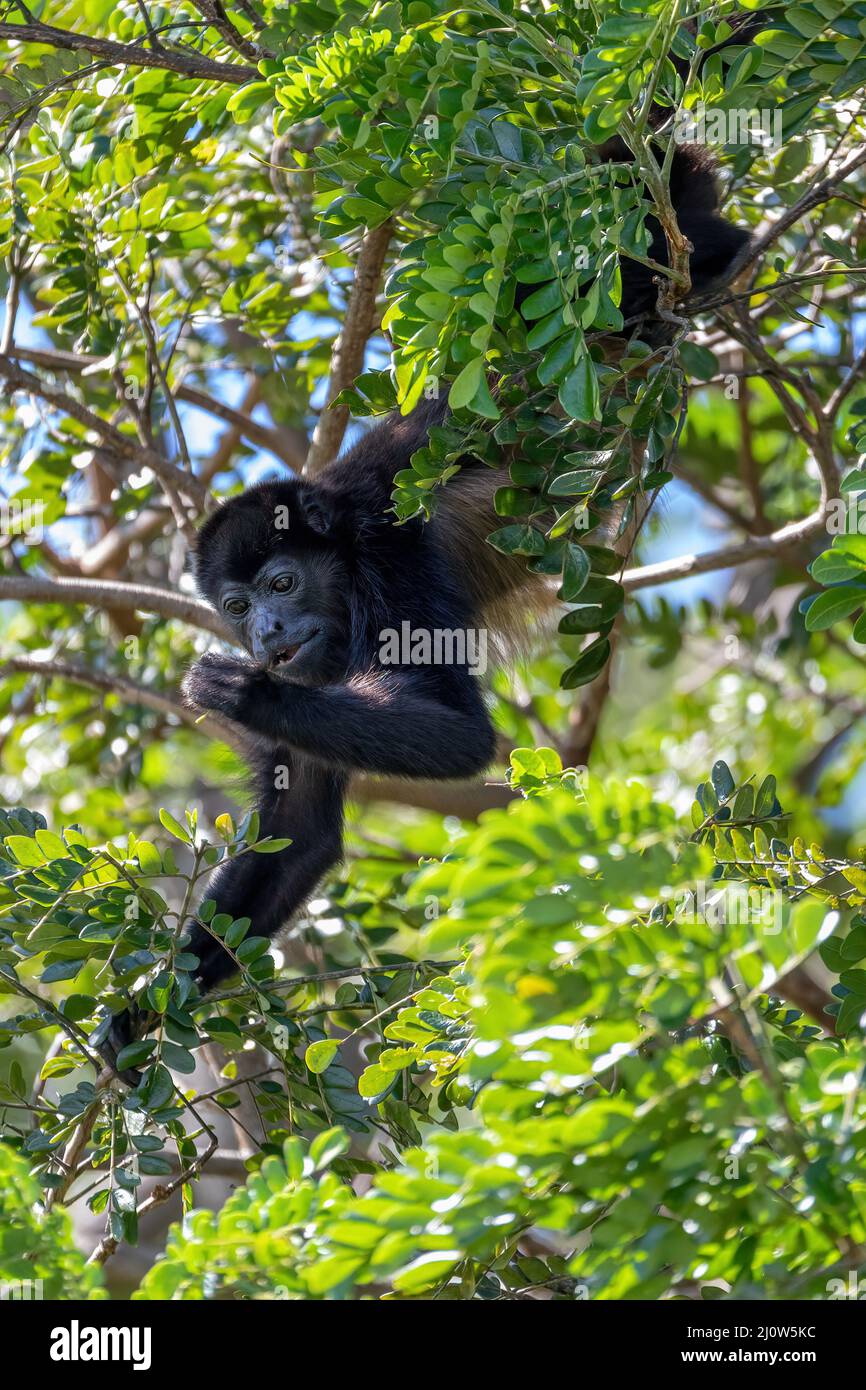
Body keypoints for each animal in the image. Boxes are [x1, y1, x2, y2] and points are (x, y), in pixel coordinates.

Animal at [101, 138, 750, 1061]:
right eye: (234, 604)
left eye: (281, 584)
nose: (263, 634)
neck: (342, 548)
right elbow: (300, 827)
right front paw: (139, 1016)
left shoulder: (393, 554)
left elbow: (461, 731)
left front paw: (236, 690)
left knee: (677, 251)